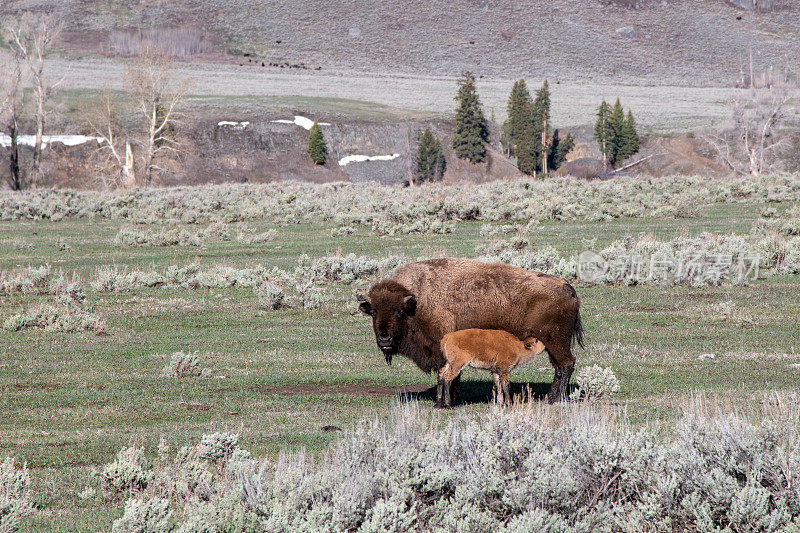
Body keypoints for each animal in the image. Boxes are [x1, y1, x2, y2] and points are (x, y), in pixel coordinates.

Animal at [360, 258, 584, 404]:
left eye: (399, 312)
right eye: (373, 313)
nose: (385, 339)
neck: (416, 301)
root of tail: (567, 287)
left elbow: (448, 375)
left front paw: (449, 399)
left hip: (556, 341)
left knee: (566, 364)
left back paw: (554, 400)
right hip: (550, 344)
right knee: (559, 367)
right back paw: (551, 397)